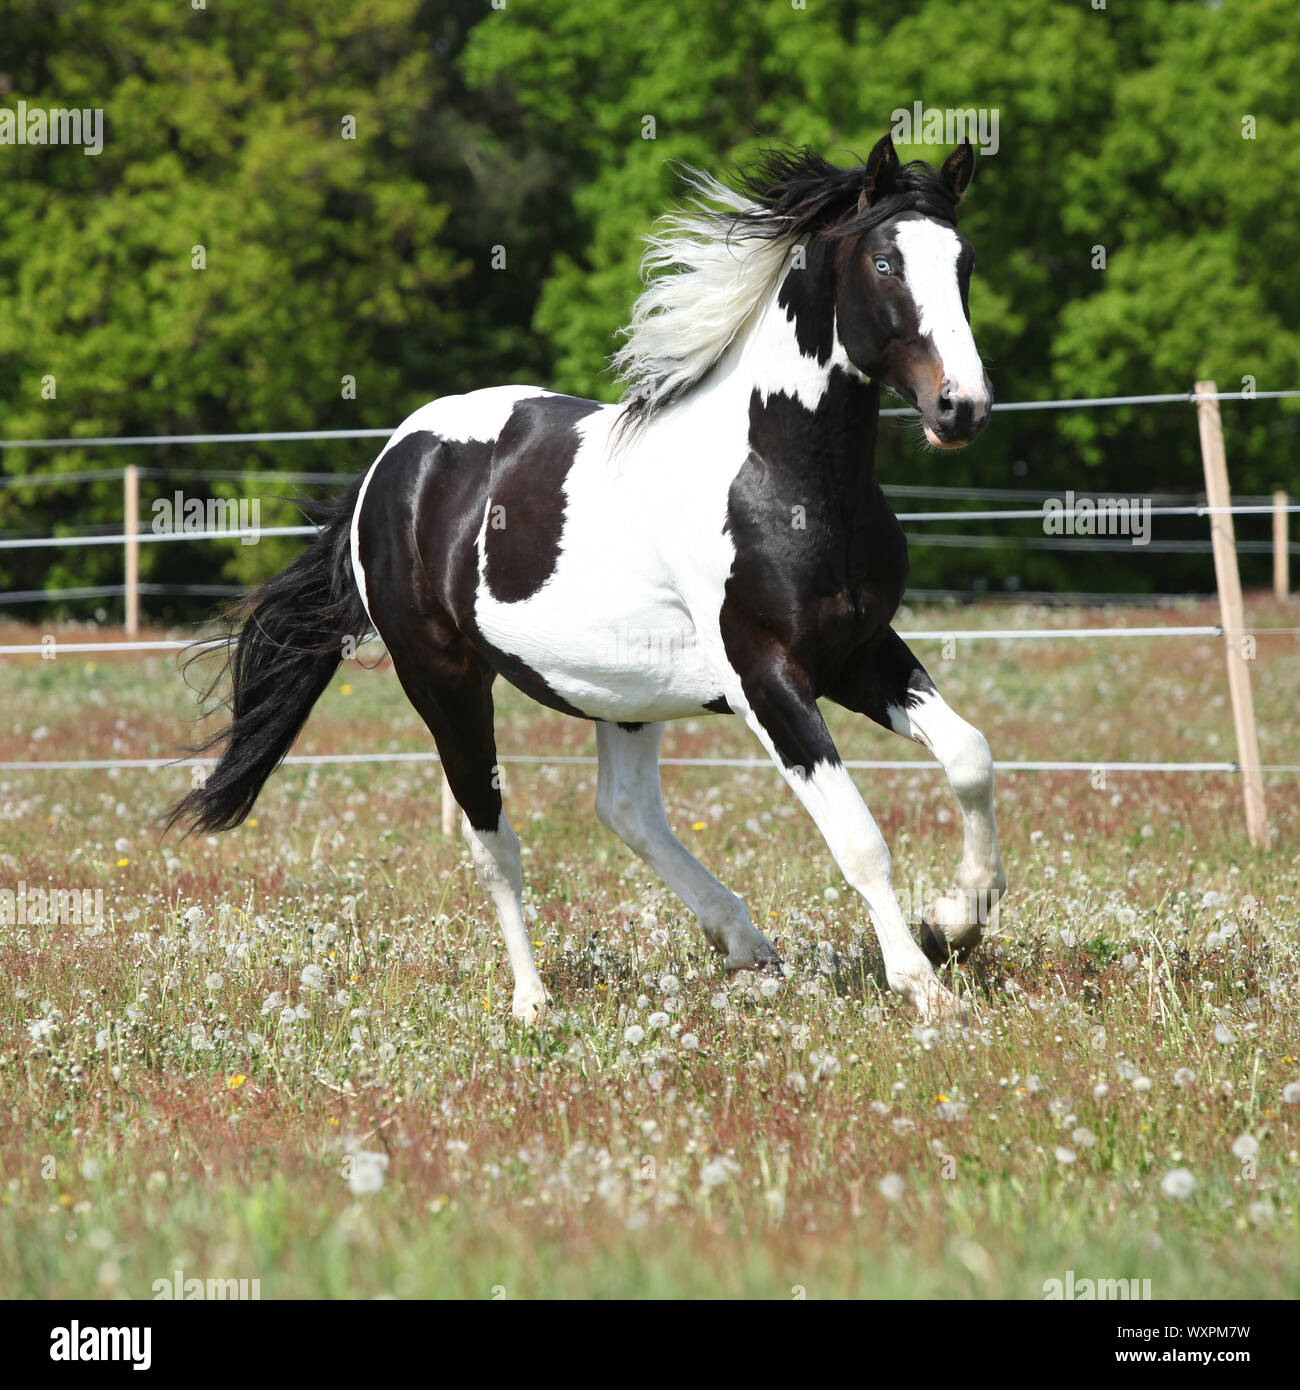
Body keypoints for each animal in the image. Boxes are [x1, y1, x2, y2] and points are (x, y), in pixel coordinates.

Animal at [170, 132, 1007, 1026]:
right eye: (885, 262)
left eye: (965, 260)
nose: (961, 407)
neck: (787, 481)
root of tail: (392, 461)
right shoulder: (767, 676)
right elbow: (858, 836)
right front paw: (924, 986)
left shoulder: (859, 652)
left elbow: (969, 755)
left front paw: (955, 922)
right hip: (443, 681)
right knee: (493, 838)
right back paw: (533, 1001)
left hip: (627, 691)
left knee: (626, 809)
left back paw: (744, 944)